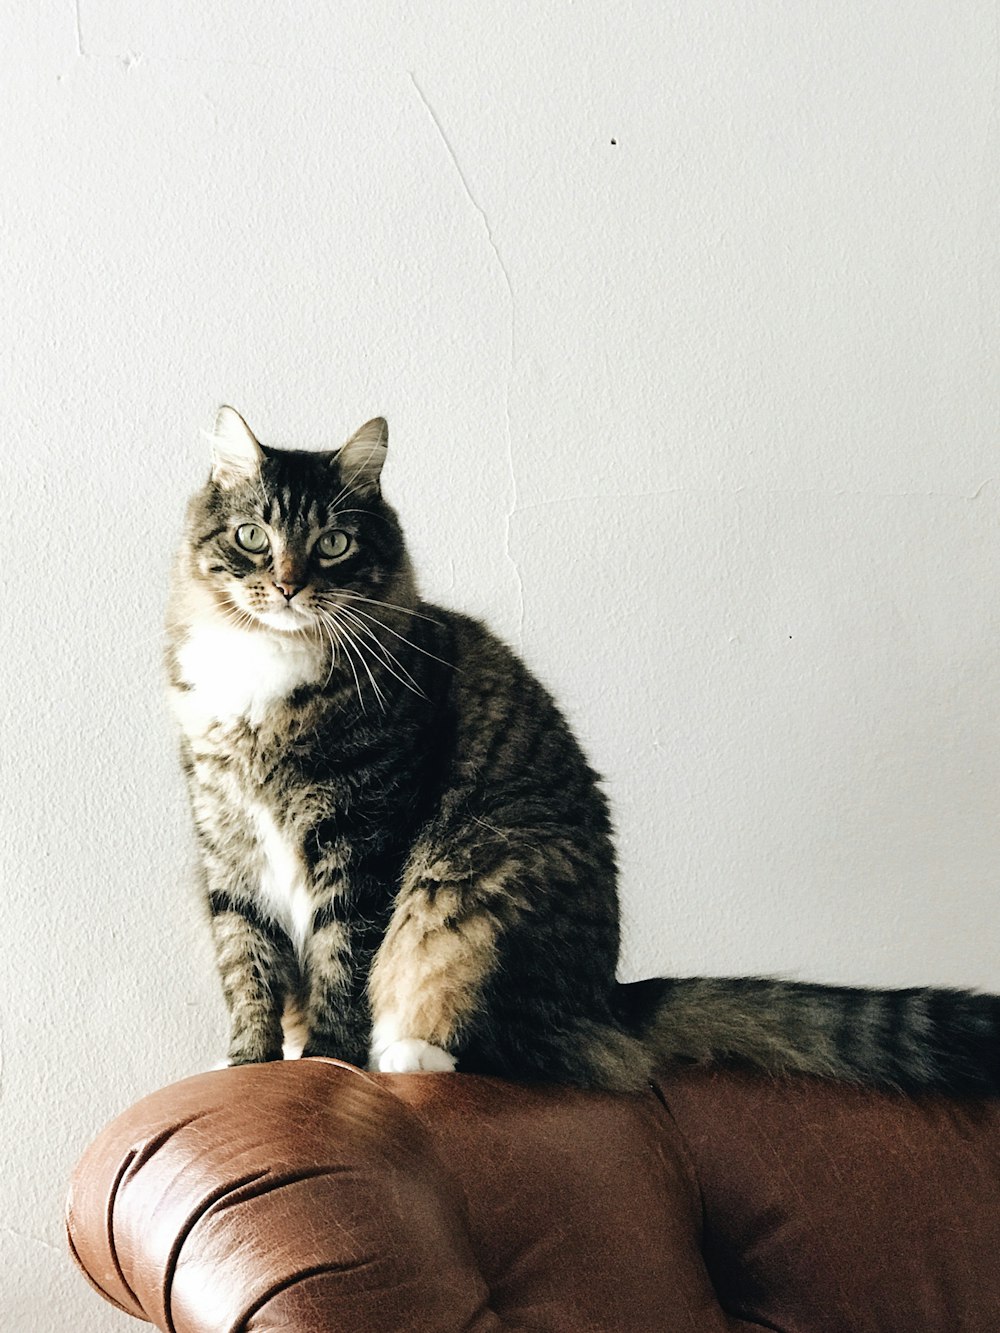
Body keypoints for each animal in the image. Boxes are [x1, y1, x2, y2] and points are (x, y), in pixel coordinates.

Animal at [168, 405, 1000, 1093]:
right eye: (253, 537)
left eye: (333, 543)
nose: (286, 585)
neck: (268, 672)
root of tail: (609, 997)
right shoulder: (228, 846)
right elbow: (247, 964)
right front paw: (248, 1061)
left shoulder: (362, 836)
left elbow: (344, 957)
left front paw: (328, 1060)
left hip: (475, 879)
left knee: (523, 1042)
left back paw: (408, 1052)